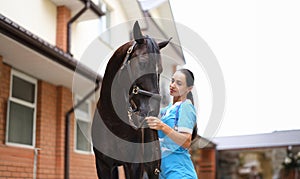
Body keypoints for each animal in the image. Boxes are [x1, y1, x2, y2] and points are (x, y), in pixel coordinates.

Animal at [91, 20, 171, 178]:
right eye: (142, 63)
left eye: (160, 70)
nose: (154, 109)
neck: (113, 122)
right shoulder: (103, 166)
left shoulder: (134, 165)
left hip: (153, 168)